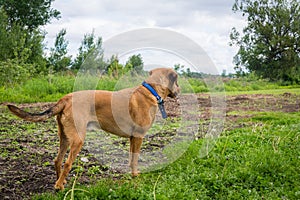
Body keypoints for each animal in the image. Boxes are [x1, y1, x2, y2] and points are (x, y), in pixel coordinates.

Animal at [7, 68, 179, 190]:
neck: (151, 91)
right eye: (177, 81)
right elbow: (135, 159)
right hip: (78, 139)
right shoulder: (138, 136)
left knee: (58, 160)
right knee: (67, 163)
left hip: (64, 137)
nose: (180, 91)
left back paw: (60, 182)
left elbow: (131, 159)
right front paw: (135, 176)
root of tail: (65, 98)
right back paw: (59, 187)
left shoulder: (132, 138)